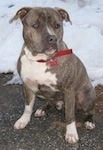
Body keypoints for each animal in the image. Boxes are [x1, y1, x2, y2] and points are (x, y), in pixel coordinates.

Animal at [9, 7, 96, 144]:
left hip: (84, 97)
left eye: (57, 25)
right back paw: (43, 109)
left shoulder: (69, 90)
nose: (52, 38)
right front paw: (23, 120)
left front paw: (71, 133)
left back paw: (89, 121)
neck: (41, 59)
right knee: (50, 101)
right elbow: (28, 106)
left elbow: (70, 115)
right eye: (36, 25)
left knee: (90, 110)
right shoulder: (27, 86)